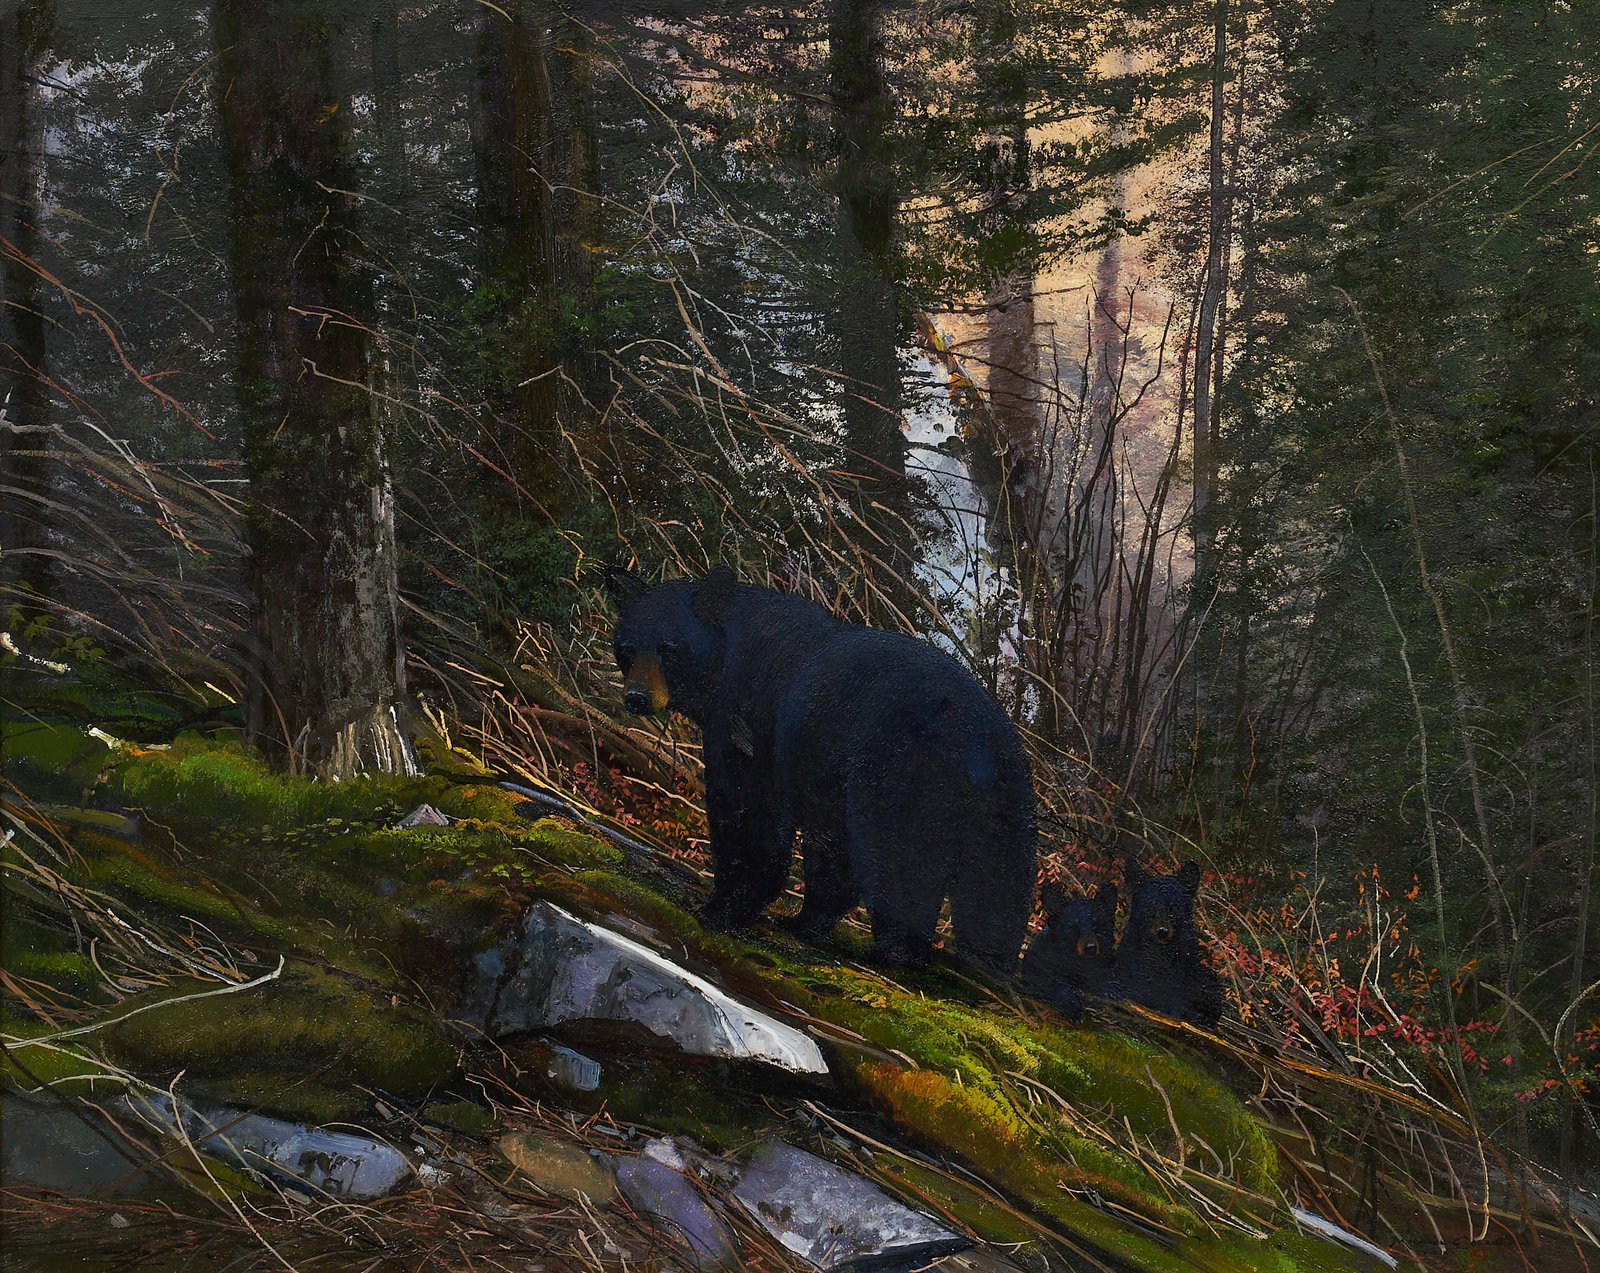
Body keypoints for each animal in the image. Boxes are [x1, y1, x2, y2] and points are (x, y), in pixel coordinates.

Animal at [605, 565, 1038, 972]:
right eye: (626, 647)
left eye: (668, 648)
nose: (637, 698)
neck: (730, 656)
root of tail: (983, 745)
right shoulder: (818, 772)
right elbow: (828, 851)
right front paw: (799, 920)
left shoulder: (753, 723)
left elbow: (747, 810)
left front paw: (724, 908)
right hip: (1007, 813)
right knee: (996, 895)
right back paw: (985, 964)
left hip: (903, 777)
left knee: (900, 867)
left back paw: (895, 954)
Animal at [1018, 882, 1119, 1021]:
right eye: (1074, 926)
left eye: (1096, 925)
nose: (1090, 947)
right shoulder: (1042, 965)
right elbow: (1053, 982)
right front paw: (1074, 1008)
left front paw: (1110, 988)